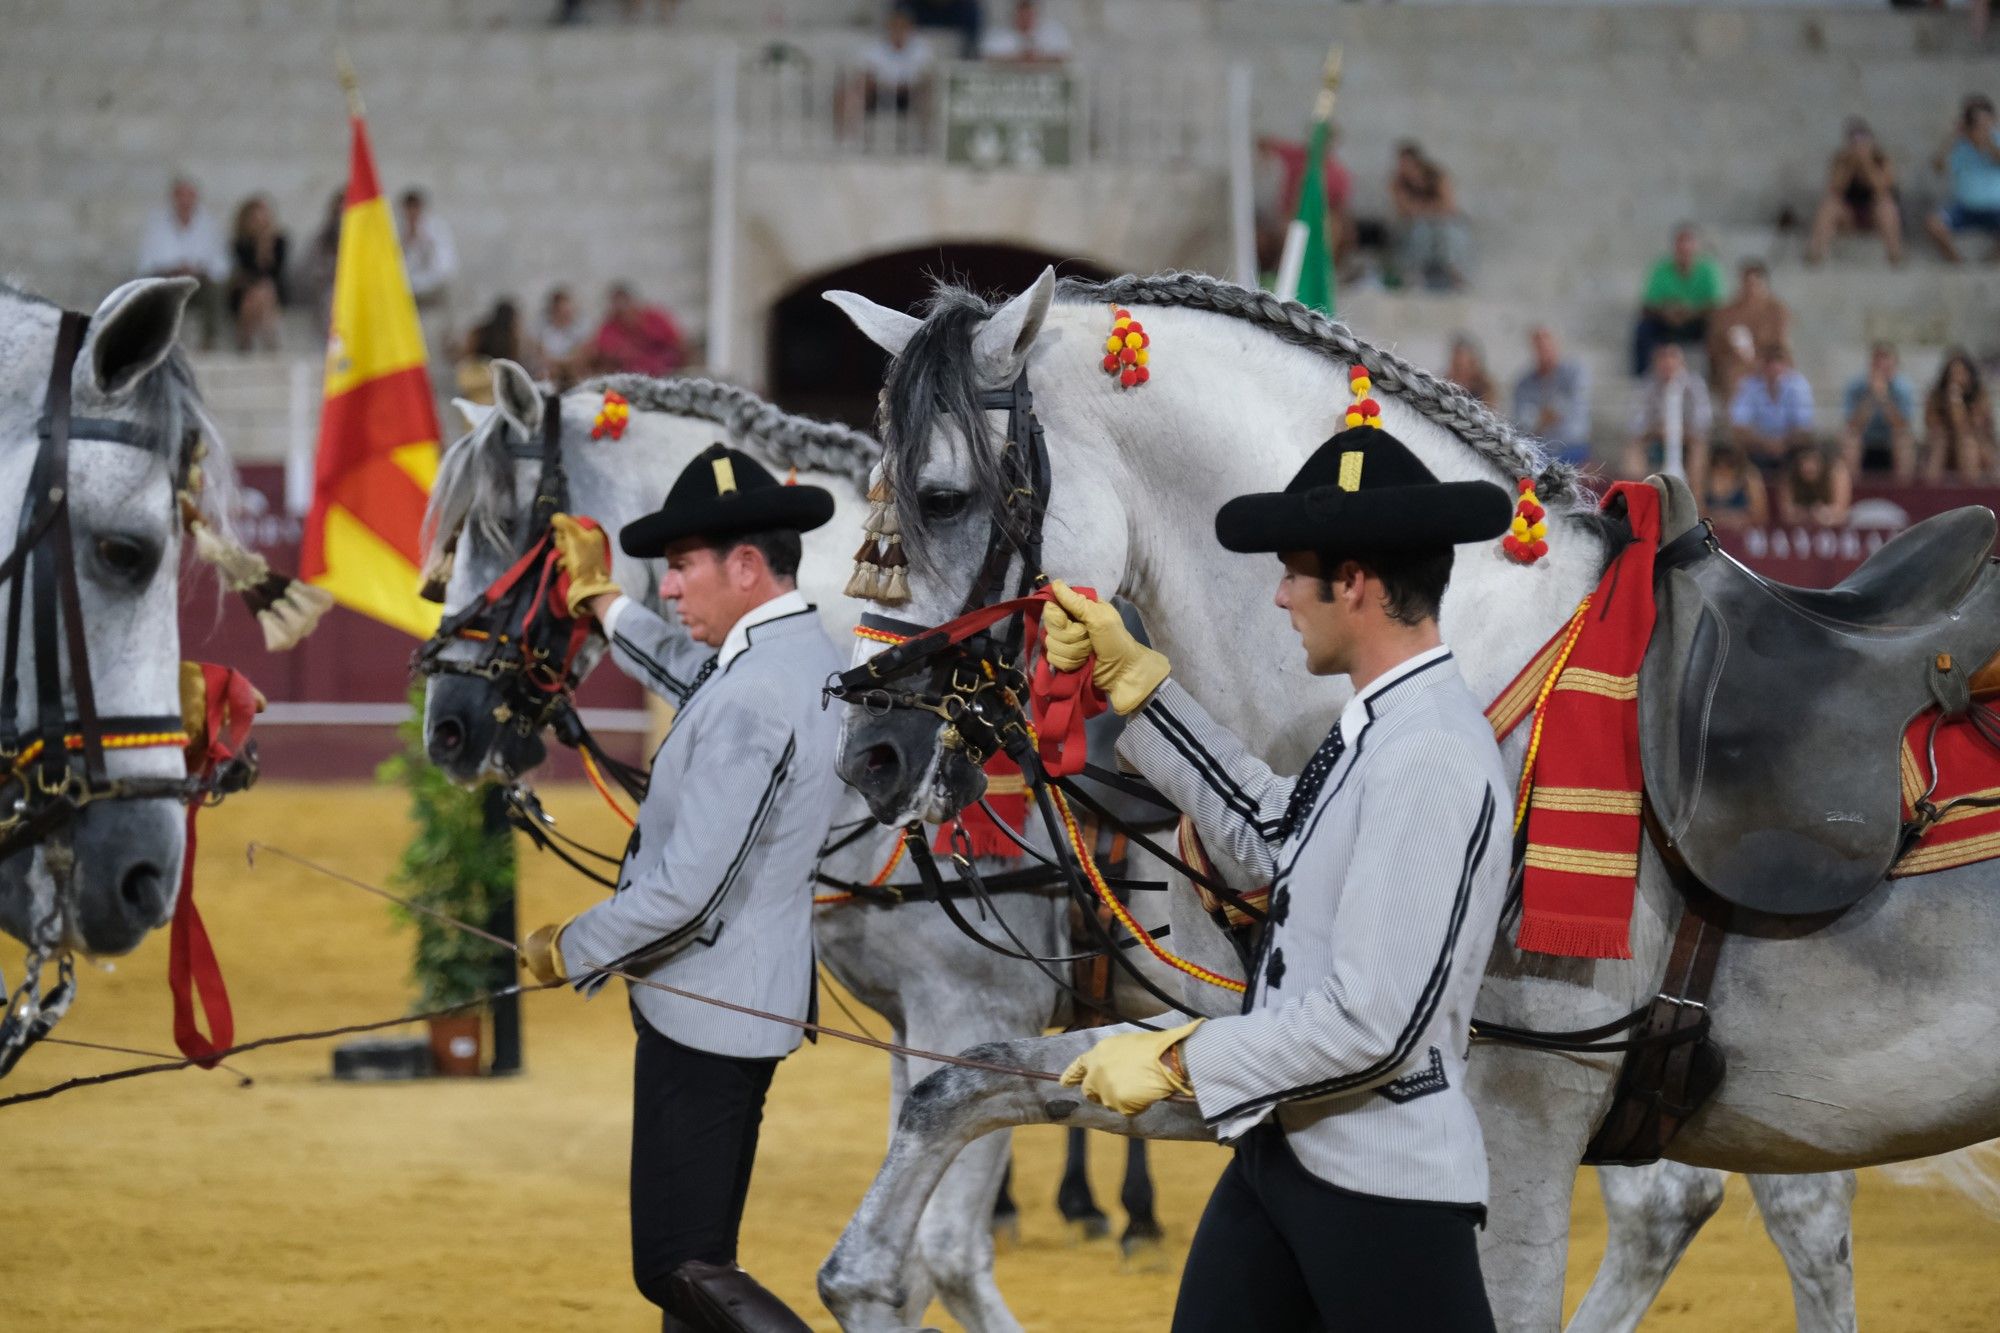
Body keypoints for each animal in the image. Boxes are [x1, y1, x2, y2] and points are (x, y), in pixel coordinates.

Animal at [420, 358, 1200, 1320]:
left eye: (502, 529)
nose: (447, 728)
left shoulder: (980, 1011)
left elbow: (948, 1251)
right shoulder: (915, 1025)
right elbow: (923, 1253)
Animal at [816, 264, 2000, 1320]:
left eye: (941, 497)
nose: (869, 753)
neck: (1467, 674)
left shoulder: (1520, 1123)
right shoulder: (1219, 1046)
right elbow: (956, 1095)